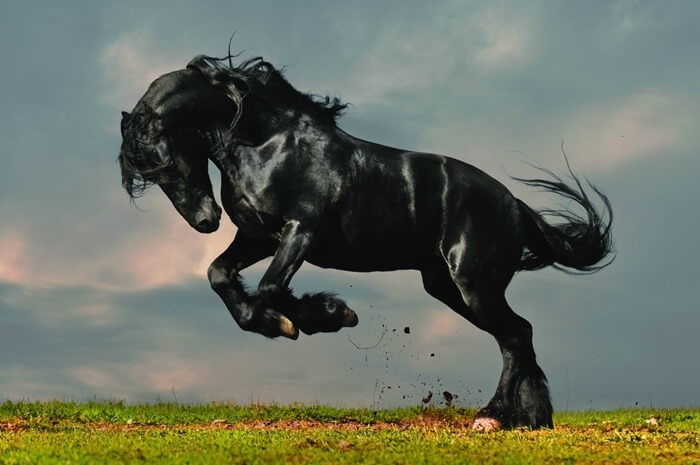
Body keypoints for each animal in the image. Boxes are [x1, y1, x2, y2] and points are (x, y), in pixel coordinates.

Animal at [118, 53, 613, 430]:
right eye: (148, 172)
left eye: (164, 160)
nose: (205, 221)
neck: (269, 143)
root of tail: (513, 204)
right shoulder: (258, 235)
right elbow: (220, 275)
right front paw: (279, 322)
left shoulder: (301, 231)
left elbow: (271, 287)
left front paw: (325, 315)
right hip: (447, 287)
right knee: (518, 335)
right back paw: (530, 418)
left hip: (474, 285)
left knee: (515, 335)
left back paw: (493, 416)